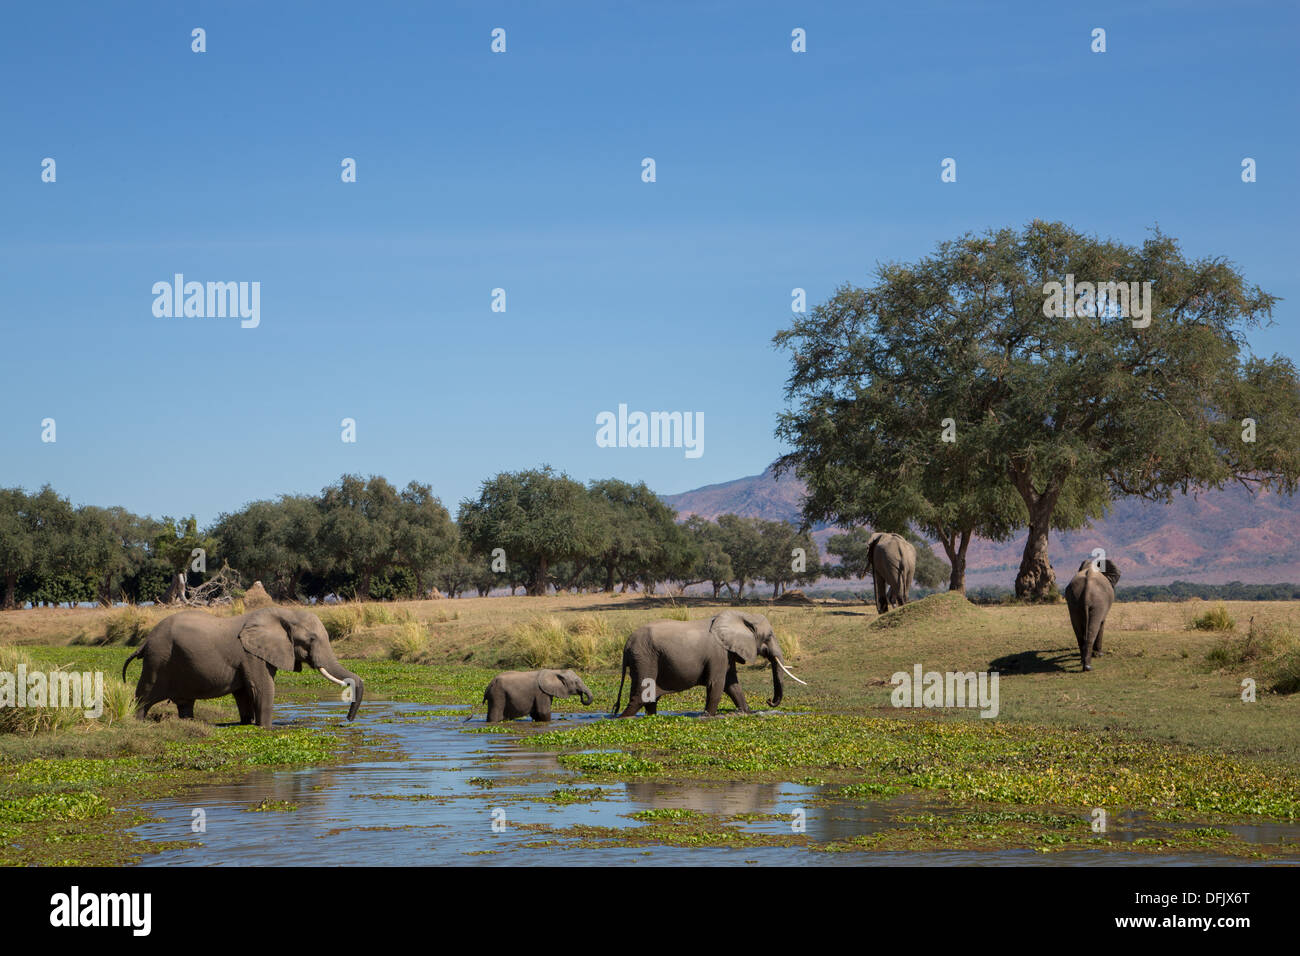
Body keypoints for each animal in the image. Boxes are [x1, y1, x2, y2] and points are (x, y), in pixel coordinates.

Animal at [120, 608, 361, 728]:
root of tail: (145, 641)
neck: (282, 613)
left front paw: (248, 723)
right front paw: (265, 728)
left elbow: (244, 692)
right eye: (311, 639)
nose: (347, 721)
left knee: (185, 704)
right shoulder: (251, 655)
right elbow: (262, 688)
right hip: (157, 661)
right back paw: (136, 722)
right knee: (144, 696)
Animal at [608, 613, 800, 717]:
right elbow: (717, 685)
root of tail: (626, 644)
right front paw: (707, 716)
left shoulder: (727, 653)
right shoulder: (718, 653)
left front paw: (747, 713)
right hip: (645, 659)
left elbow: (733, 686)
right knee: (640, 698)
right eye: (769, 636)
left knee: (649, 699)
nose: (769, 701)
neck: (742, 616)